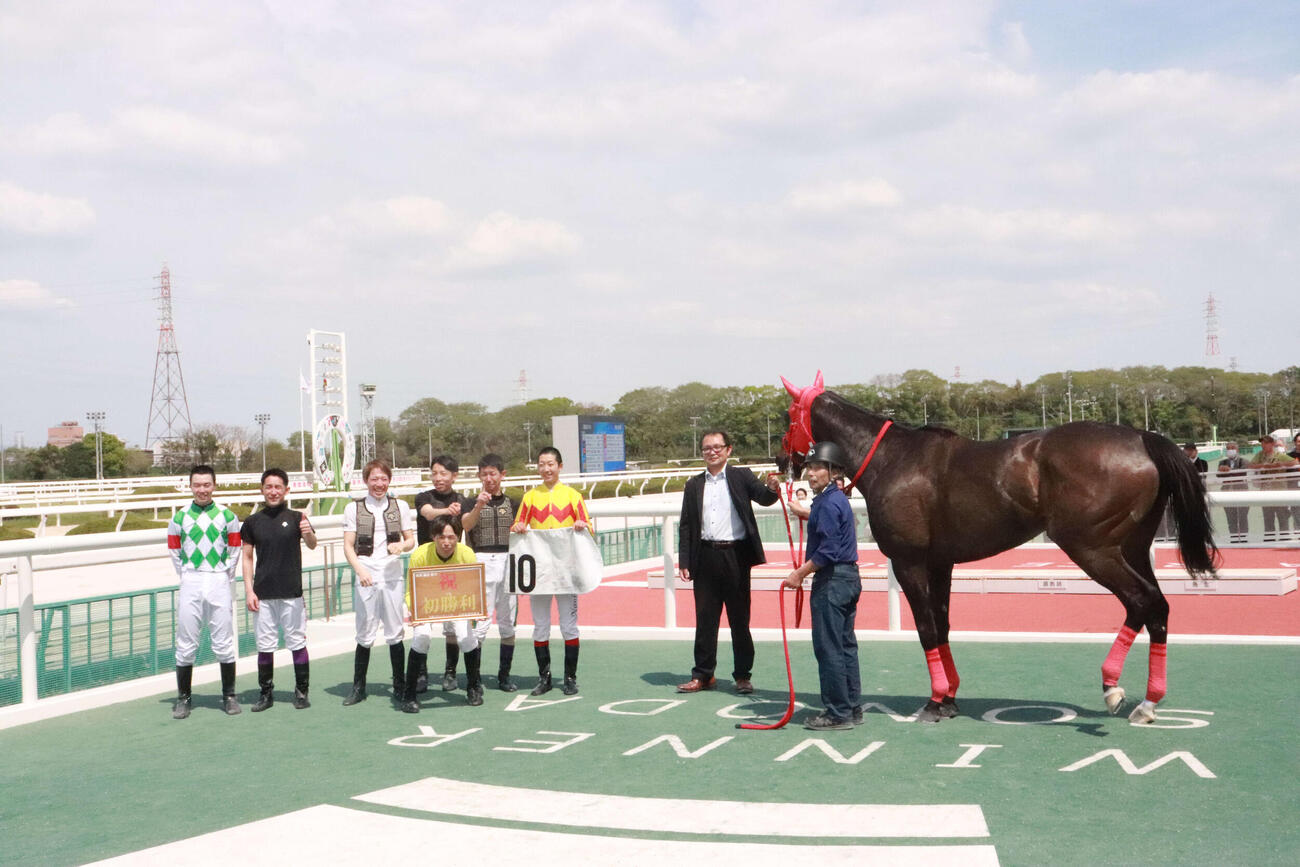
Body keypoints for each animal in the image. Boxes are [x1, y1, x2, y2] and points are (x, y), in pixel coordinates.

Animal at [779, 372, 1218, 724]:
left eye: (786, 416)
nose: (785, 461)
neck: (892, 459)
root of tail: (1143, 438)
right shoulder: (940, 563)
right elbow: (942, 626)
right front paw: (949, 697)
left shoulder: (910, 562)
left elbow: (926, 629)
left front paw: (935, 701)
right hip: (1133, 548)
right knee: (1157, 607)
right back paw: (1148, 701)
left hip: (1093, 548)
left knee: (1142, 601)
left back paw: (1115, 688)